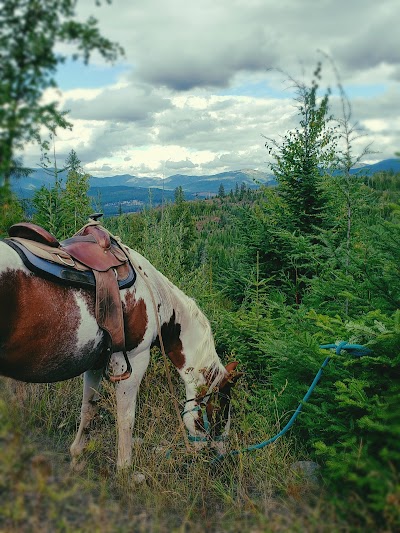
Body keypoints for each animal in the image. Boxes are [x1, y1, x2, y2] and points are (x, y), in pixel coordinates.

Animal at [0, 237, 241, 466]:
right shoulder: (134, 361)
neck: (155, 297)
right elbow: (126, 419)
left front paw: (77, 458)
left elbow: (88, 409)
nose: (220, 457)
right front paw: (125, 470)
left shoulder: (95, 364)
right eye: (221, 412)